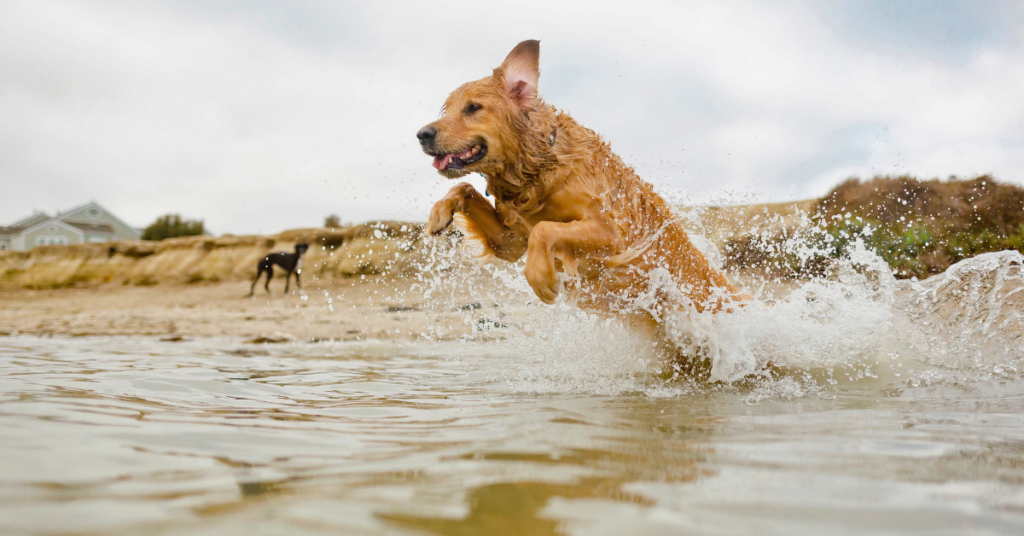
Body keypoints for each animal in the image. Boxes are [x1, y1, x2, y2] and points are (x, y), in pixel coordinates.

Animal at [413, 40, 745, 319]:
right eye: (446, 109)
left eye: (473, 108)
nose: (422, 134)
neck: (537, 170)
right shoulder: (511, 241)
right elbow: (464, 186)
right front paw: (440, 212)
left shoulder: (612, 233)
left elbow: (544, 229)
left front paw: (541, 276)